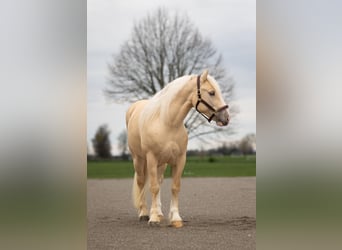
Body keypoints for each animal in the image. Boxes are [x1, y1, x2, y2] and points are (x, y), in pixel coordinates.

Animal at [126, 69, 230, 228]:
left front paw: (175, 218)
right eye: (212, 92)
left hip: (161, 164)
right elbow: (153, 187)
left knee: (158, 181)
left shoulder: (180, 160)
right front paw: (153, 219)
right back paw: (144, 213)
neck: (167, 122)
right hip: (139, 159)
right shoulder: (151, 158)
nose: (226, 118)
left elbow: (175, 187)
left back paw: (159, 213)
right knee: (142, 182)